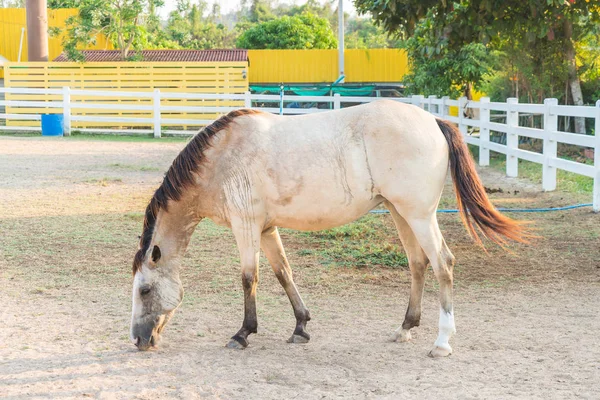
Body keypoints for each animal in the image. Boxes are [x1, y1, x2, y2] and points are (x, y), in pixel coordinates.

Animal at [130, 100, 524, 356]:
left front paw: (243, 333)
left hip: (419, 216)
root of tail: (434, 121)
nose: (138, 340)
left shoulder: (246, 227)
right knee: (418, 264)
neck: (222, 157)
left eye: (145, 290)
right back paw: (405, 328)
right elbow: (283, 273)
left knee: (443, 263)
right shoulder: (267, 230)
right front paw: (300, 327)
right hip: (401, 214)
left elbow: (249, 278)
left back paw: (442, 342)